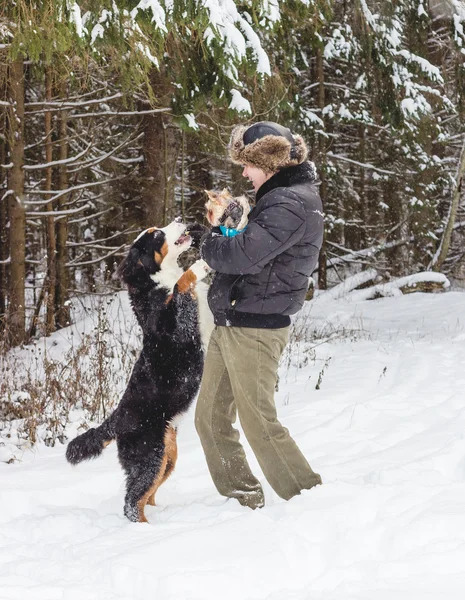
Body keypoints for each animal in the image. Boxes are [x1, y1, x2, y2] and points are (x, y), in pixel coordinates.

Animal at [65, 218, 212, 524]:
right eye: (156, 235)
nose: (179, 219)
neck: (155, 284)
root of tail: (115, 420)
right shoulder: (175, 323)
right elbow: (182, 283)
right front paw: (201, 264)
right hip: (148, 457)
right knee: (132, 502)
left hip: (166, 456)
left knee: (147, 496)